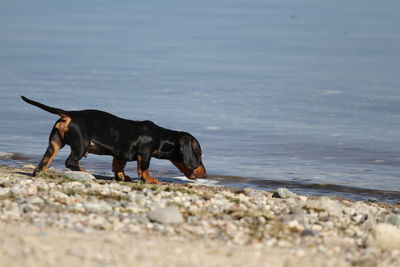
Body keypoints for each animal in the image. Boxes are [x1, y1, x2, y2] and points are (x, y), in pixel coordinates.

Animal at [22, 96, 208, 184]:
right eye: (199, 153)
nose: (205, 175)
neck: (160, 136)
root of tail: (70, 114)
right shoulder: (145, 153)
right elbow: (144, 169)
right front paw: (150, 179)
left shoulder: (121, 154)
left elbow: (118, 166)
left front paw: (123, 177)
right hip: (81, 145)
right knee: (71, 162)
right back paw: (87, 174)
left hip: (54, 144)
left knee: (43, 162)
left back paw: (42, 173)